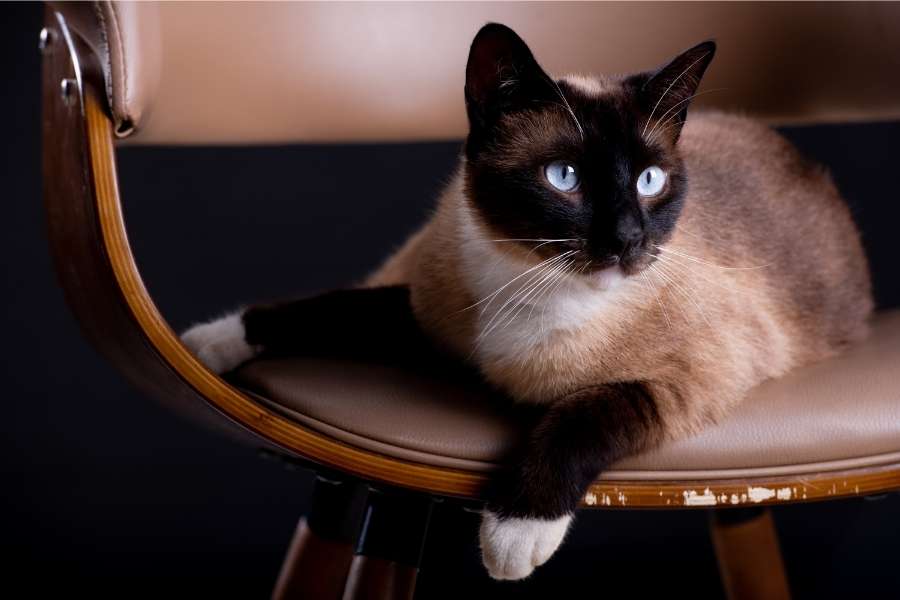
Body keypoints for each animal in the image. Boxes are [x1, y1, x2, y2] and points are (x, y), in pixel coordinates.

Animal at [181, 24, 872, 580]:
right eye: (564, 177)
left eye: (649, 181)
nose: (628, 240)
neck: (530, 288)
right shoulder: (422, 319)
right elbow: (331, 306)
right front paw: (213, 340)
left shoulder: (693, 380)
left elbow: (579, 416)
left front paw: (513, 534)